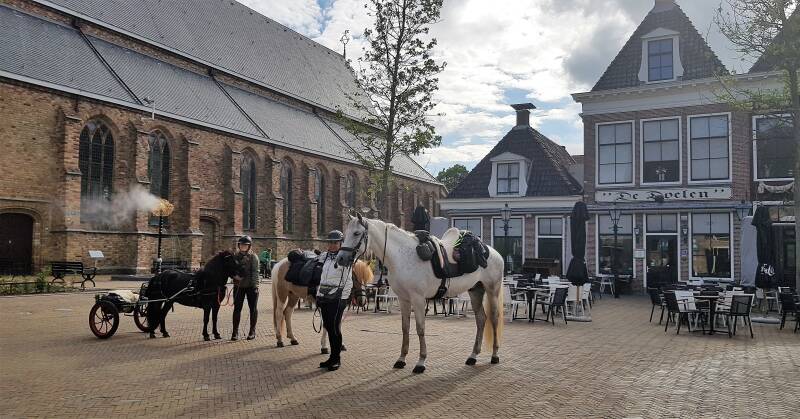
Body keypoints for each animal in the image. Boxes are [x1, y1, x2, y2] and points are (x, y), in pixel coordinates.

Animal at [336, 214, 504, 374]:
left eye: (357, 233)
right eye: (345, 233)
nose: (341, 258)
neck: (402, 257)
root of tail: (492, 252)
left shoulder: (418, 299)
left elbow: (420, 328)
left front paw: (421, 362)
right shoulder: (403, 299)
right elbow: (405, 328)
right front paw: (401, 359)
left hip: (492, 290)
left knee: (494, 318)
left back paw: (495, 355)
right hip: (475, 290)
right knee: (481, 319)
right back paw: (473, 356)